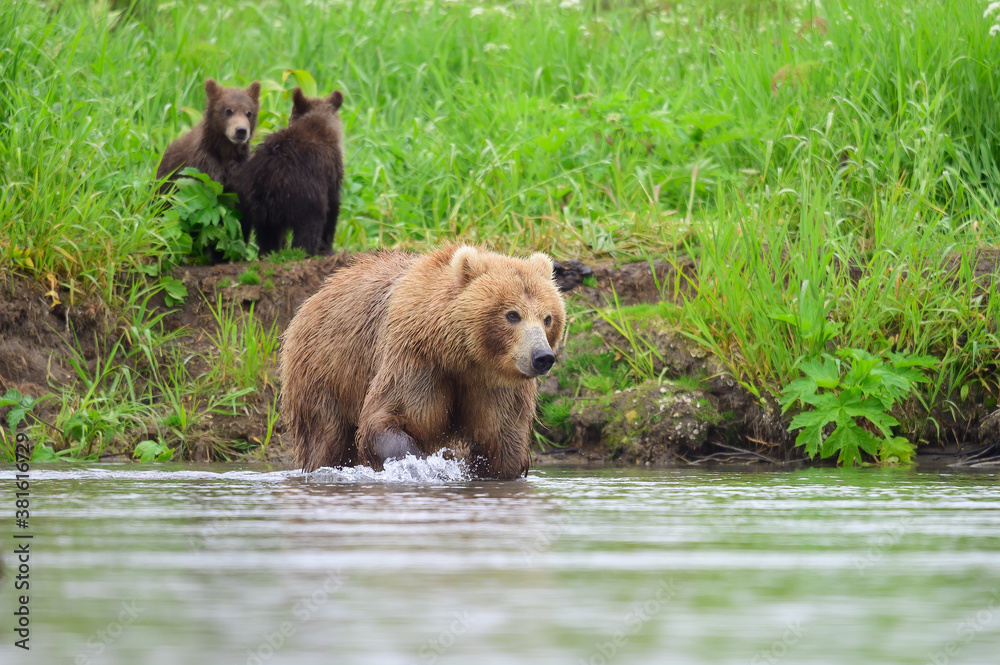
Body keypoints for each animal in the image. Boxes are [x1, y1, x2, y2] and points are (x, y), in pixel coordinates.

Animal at [231, 87, 345, 256]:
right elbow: (332, 207)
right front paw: (327, 248)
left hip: (252, 204)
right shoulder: (330, 172)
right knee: (309, 227)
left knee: (266, 235)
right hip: (304, 195)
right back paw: (305, 251)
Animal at [280, 245, 566, 479]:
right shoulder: (417, 360)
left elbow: (501, 441)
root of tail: (317, 294)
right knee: (327, 437)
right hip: (325, 370)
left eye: (547, 318)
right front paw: (420, 464)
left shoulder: (494, 385)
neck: (462, 356)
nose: (542, 357)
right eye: (512, 314)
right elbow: (391, 417)